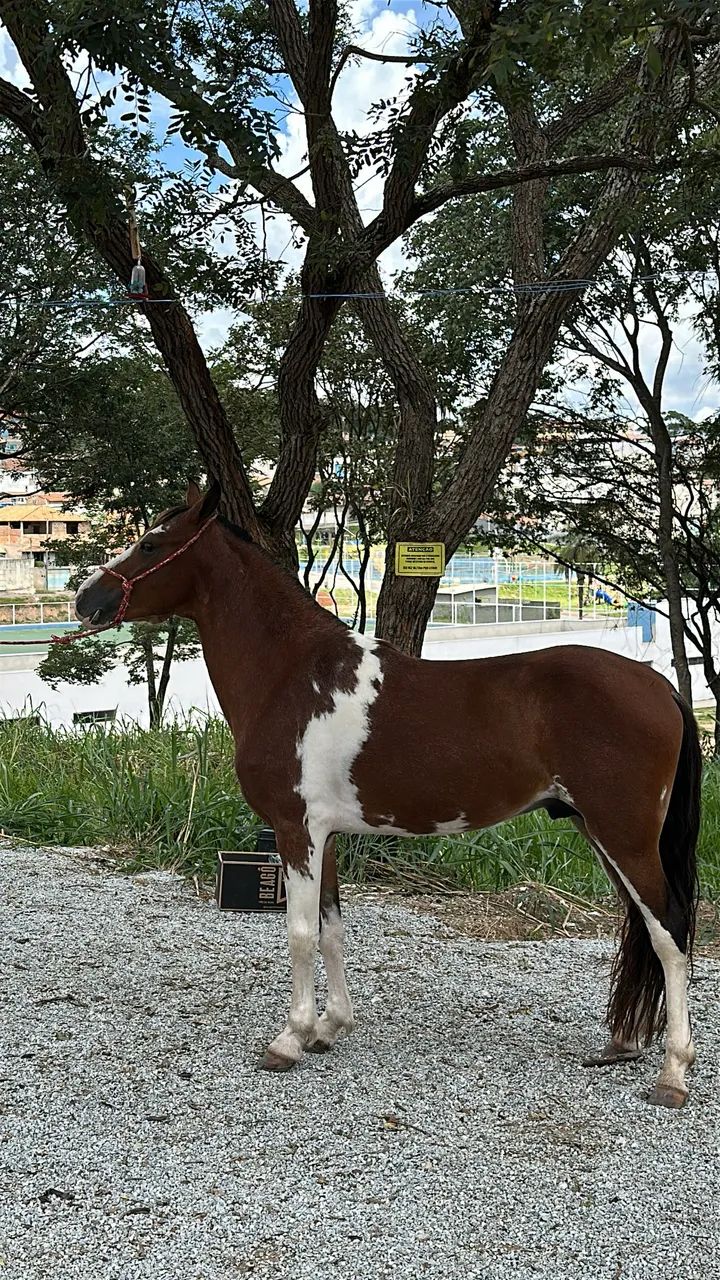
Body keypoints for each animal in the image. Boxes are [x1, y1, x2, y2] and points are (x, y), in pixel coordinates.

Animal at [75, 482, 701, 1108]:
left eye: (152, 543)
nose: (86, 600)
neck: (292, 675)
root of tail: (658, 685)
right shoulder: (323, 836)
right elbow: (331, 929)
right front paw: (330, 1027)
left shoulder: (294, 830)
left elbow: (300, 933)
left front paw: (290, 1038)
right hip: (599, 832)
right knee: (641, 926)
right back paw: (624, 1045)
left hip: (624, 836)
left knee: (669, 932)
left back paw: (673, 1073)